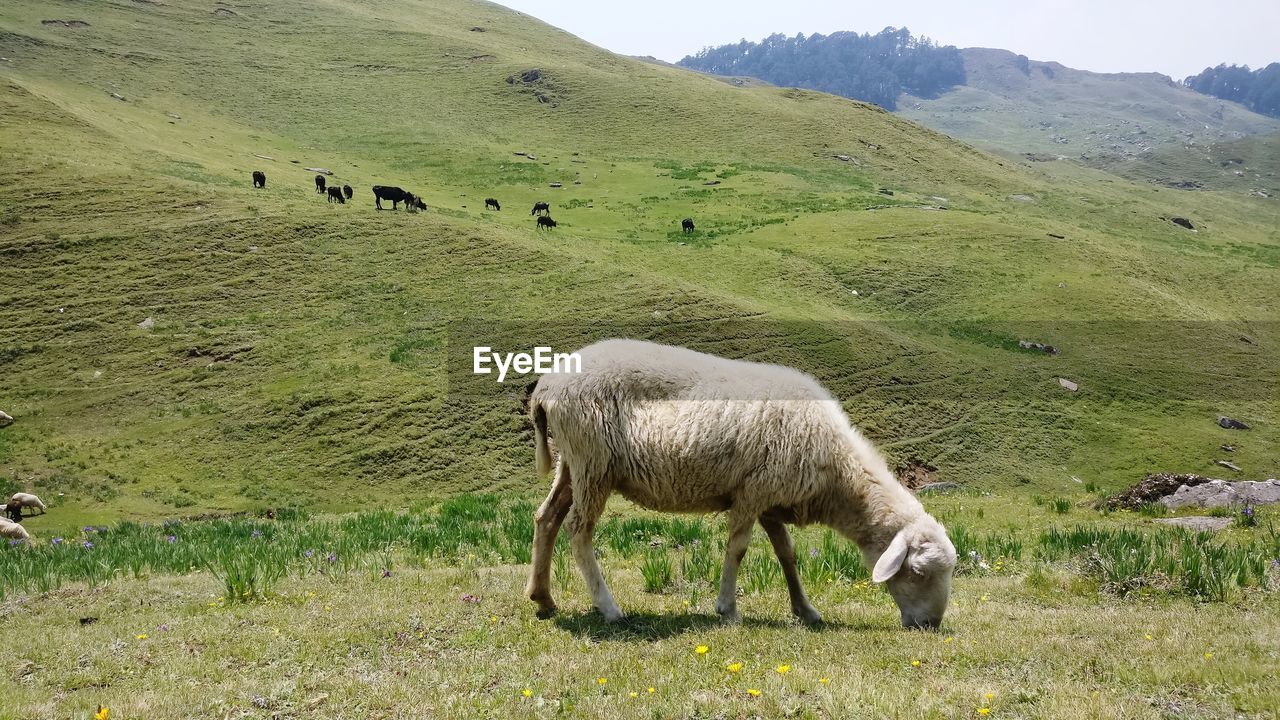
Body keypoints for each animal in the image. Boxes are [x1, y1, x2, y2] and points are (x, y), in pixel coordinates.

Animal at [524, 338, 957, 625]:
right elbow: (738, 549)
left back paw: (543, 598)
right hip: (593, 461)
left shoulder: (772, 498)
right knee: (578, 530)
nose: (930, 625)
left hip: (573, 464)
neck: (837, 473)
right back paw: (609, 608)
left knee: (546, 518)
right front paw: (728, 609)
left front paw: (806, 610)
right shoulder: (752, 491)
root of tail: (546, 385)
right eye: (919, 573)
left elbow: (787, 554)